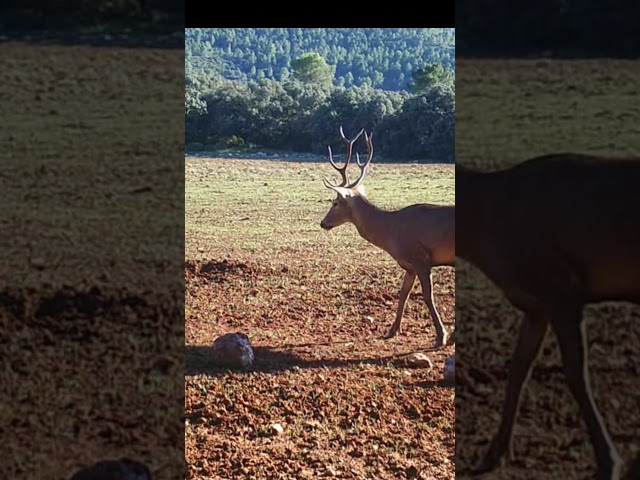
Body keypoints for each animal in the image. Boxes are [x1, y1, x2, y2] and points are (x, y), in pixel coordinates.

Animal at [320, 125, 456, 346]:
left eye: (335, 203)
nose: (323, 223)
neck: (391, 232)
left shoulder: (421, 258)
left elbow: (428, 296)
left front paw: (440, 335)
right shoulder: (409, 266)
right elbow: (403, 295)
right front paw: (392, 330)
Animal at [458, 155, 640, 480]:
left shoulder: (562, 288)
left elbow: (576, 375)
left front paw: (609, 462)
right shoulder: (536, 306)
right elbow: (518, 370)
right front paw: (493, 455)